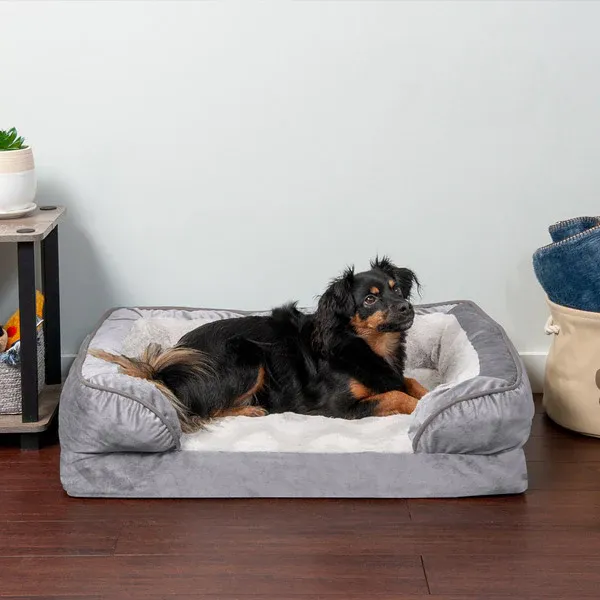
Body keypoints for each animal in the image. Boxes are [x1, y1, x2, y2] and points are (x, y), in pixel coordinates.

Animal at [91, 255, 426, 428]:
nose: (406, 308)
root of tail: (167, 372)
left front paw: (430, 395)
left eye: (397, 290)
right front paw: (419, 407)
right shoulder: (339, 407)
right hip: (247, 357)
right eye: (370, 299)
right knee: (205, 411)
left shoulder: (393, 375)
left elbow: (409, 382)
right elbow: (395, 396)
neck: (366, 344)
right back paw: (251, 411)